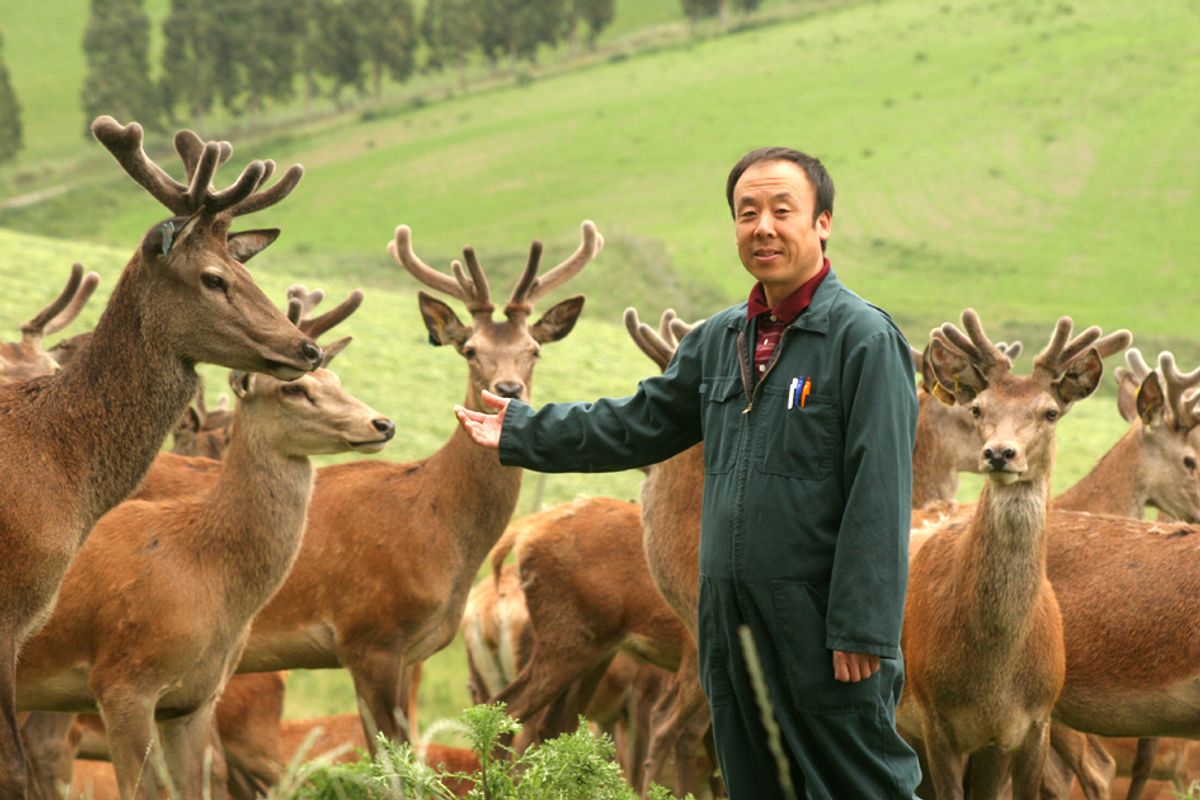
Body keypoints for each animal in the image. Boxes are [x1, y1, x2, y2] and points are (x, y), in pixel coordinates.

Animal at [15, 289, 393, 800]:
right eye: (293, 389)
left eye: (335, 378)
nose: (382, 423)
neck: (204, 568)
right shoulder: (122, 680)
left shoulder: (194, 699)